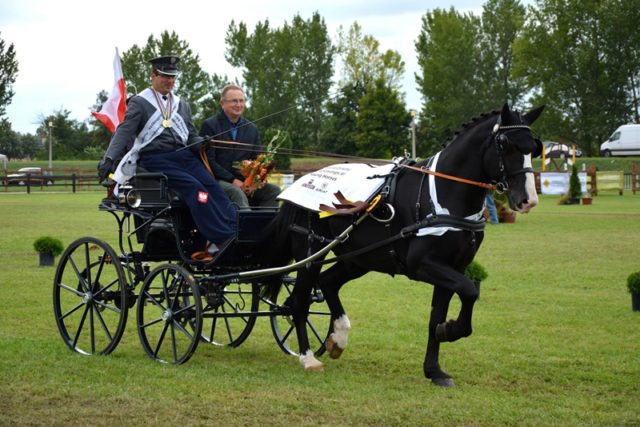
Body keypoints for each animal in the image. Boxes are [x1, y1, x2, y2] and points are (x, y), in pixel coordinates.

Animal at [258, 104, 540, 388]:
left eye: (534, 147)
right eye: (505, 144)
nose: (528, 199)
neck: (442, 194)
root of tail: (305, 180)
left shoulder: (452, 267)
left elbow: (437, 316)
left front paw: (434, 369)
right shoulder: (423, 265)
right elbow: (470, 290)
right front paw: (451, 331)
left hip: (358, 258)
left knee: (328, 283)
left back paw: (338, 338)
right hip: (313, 256)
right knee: (299, 302)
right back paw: (308, 358)